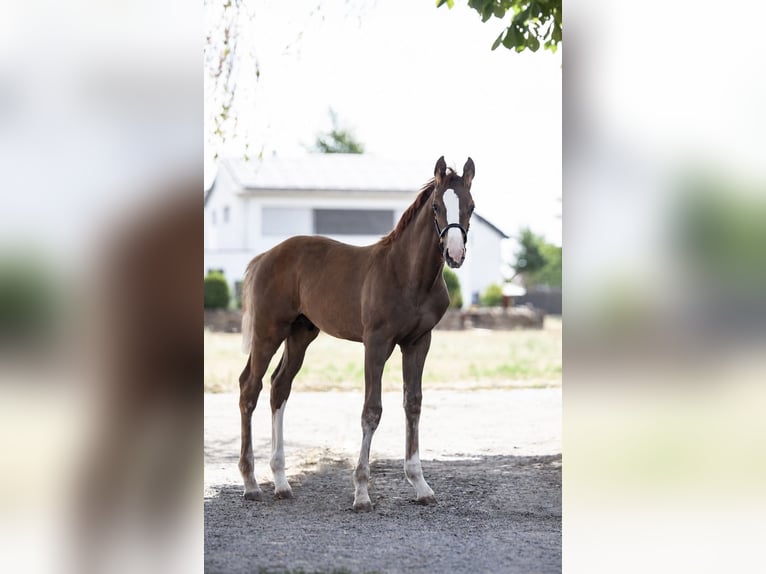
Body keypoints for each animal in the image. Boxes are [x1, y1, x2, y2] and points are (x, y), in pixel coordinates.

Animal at [238, 156, 476, 511]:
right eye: (436, 206)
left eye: (471, 206)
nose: (454, 254)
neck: (407, 274)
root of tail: (263, 257)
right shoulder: (375, 344)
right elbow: (372, 410)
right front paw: (362, 492)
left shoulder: (418, 342)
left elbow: (413, 403)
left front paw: (420, 484)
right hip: (269, 330)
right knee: (249, 388)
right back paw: (251, 483)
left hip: (300, 334)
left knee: (279, 387)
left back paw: (281, 482)